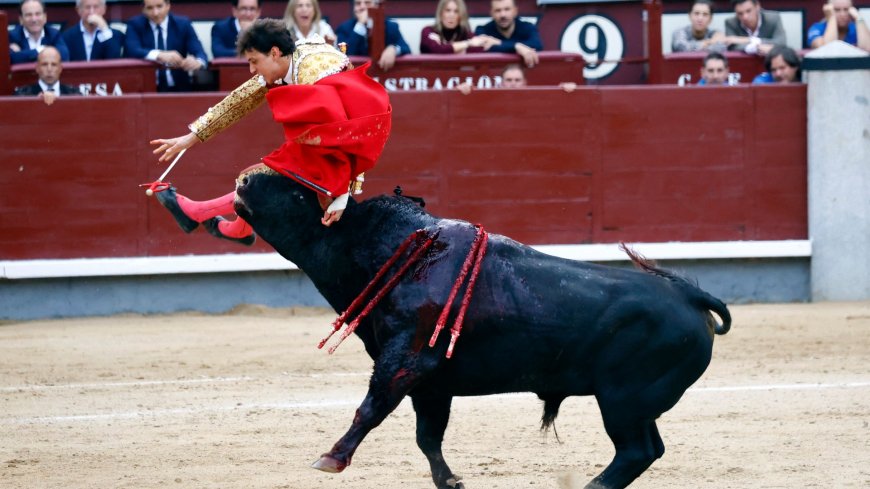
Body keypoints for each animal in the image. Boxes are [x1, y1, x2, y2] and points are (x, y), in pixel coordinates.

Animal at [232, 166, 728, 486]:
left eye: (299, 196)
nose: (243, 180)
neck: (394, 251)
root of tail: (691, 296)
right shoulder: (431, 383)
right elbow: (427, 436)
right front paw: (450, 481)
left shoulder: (406, 359)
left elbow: (371, 409)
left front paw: (331, 458)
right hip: (634, 404)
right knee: (647, 450)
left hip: (622, 401)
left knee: (635, 451)